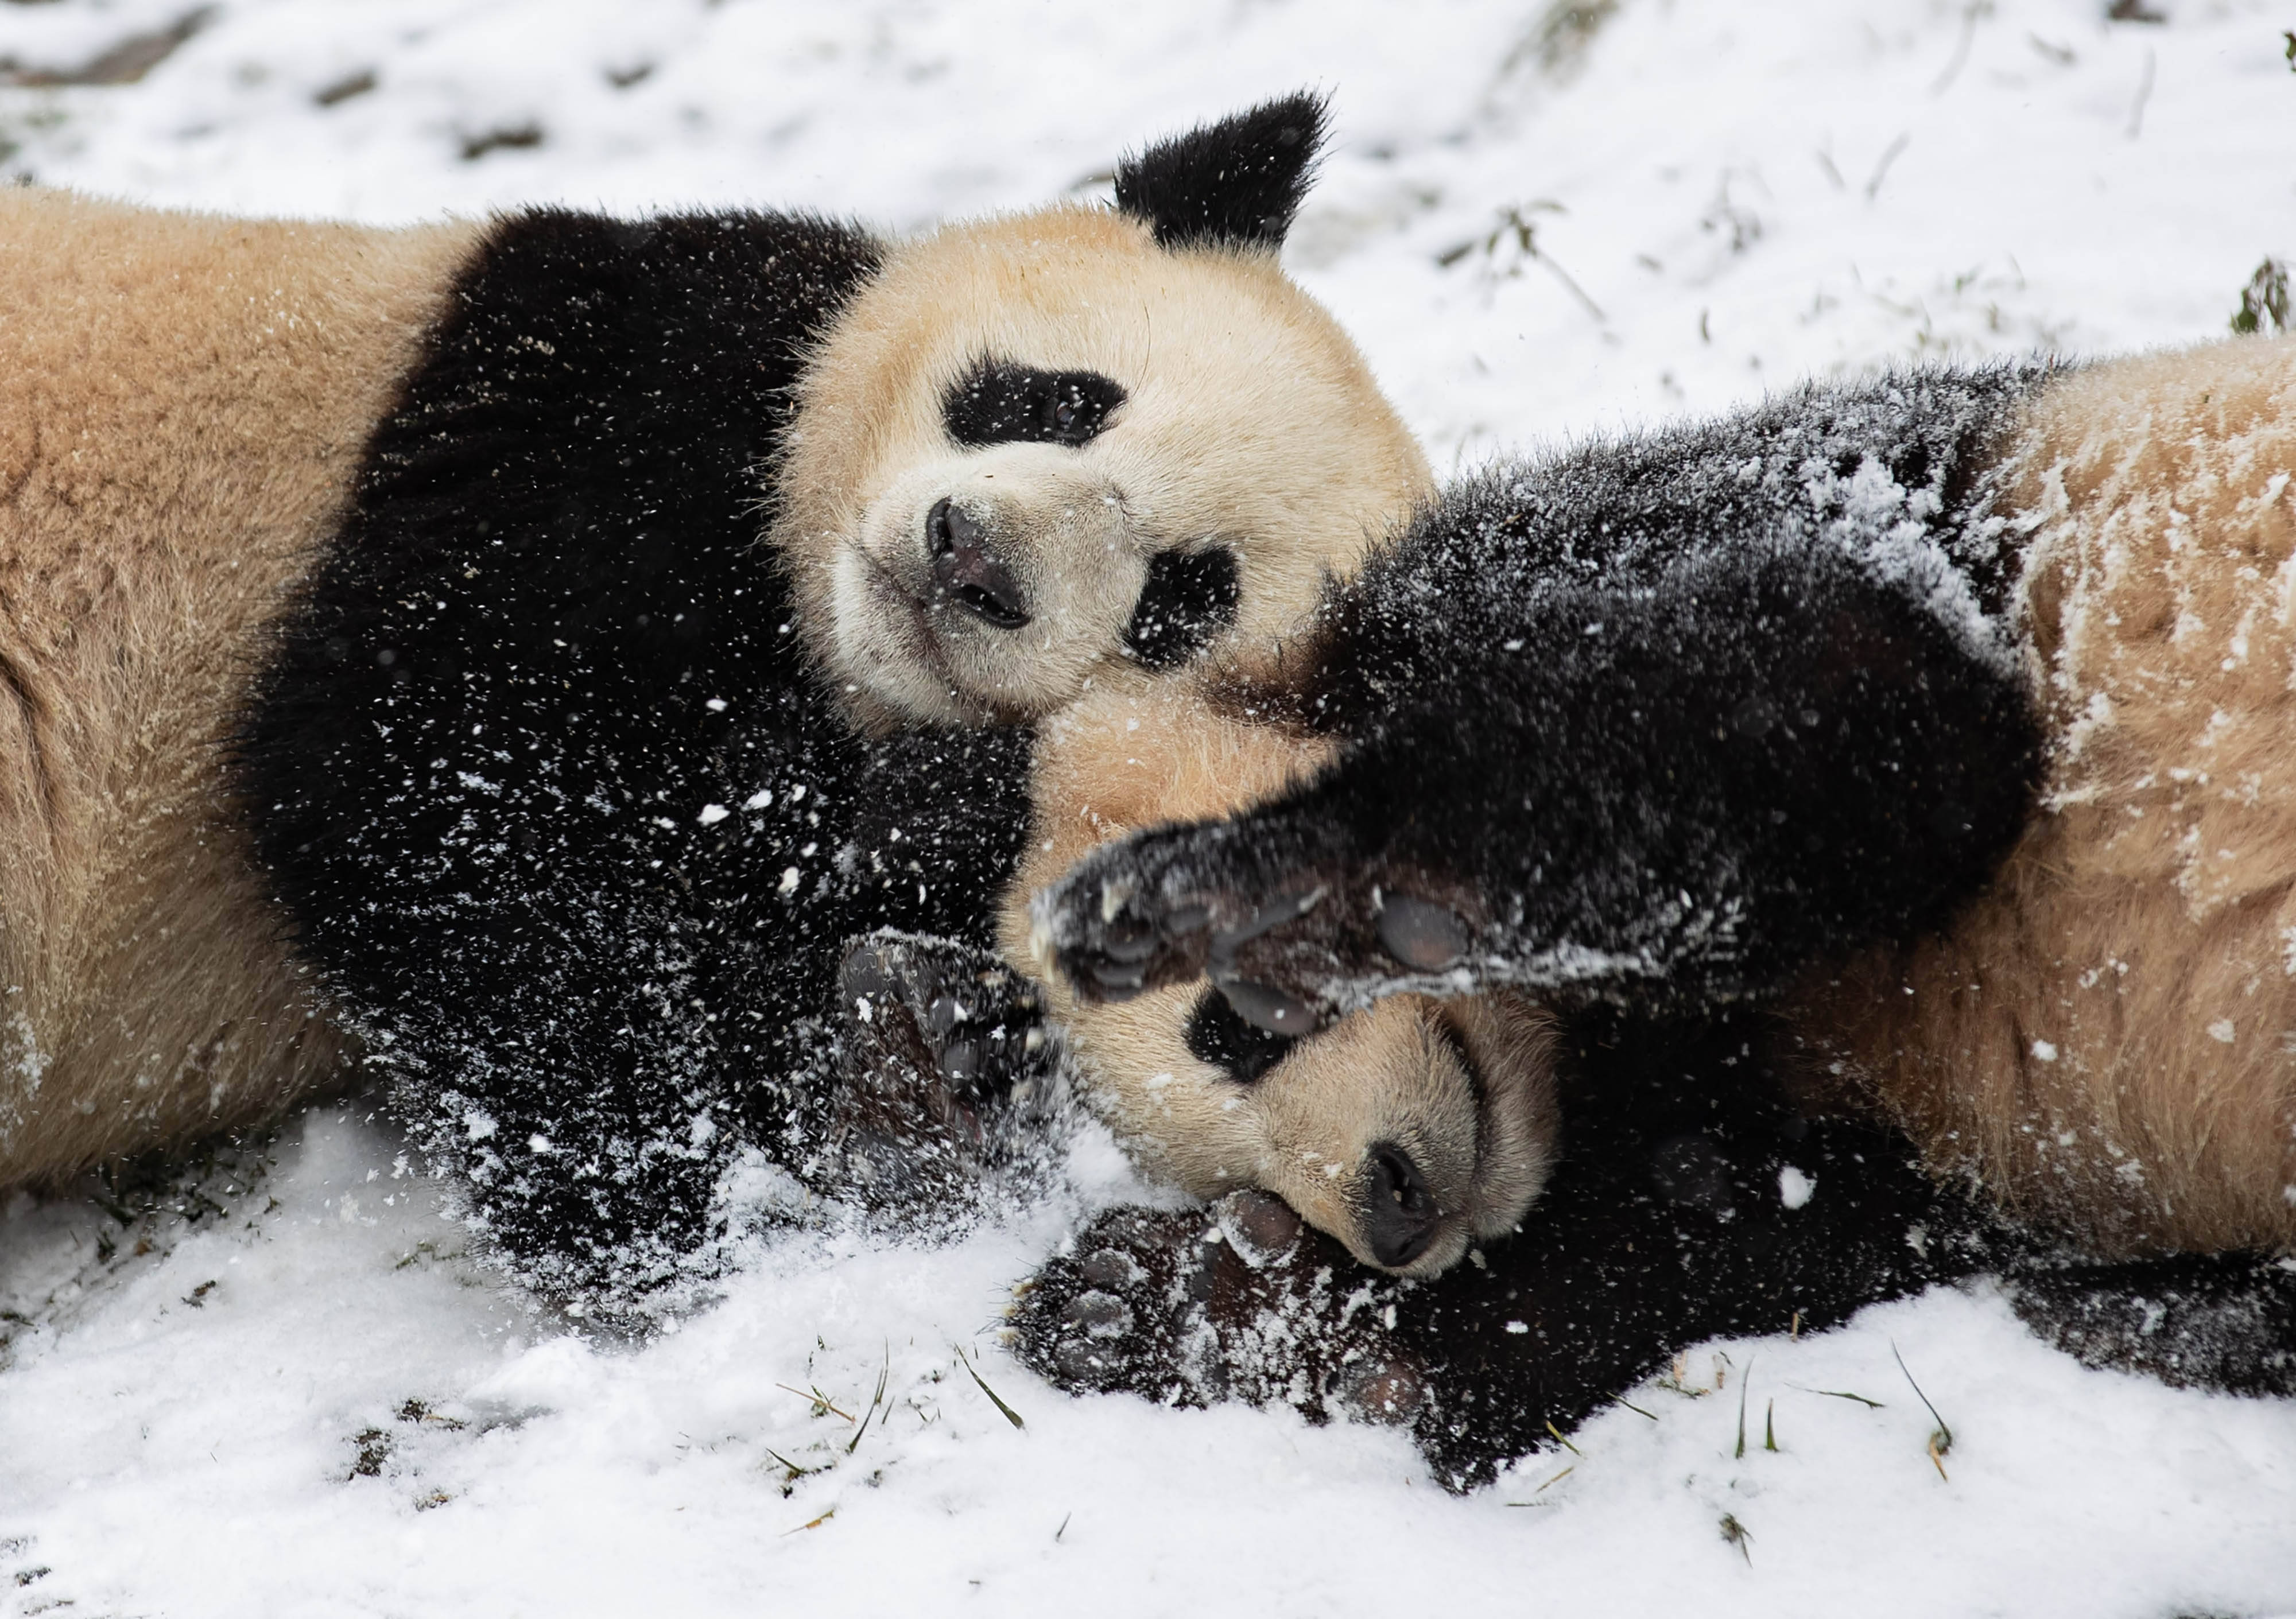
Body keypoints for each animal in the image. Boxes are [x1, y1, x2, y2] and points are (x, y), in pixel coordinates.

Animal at [0, 92, 1433, 1313]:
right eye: (1059, 400)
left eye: (1176, 602)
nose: (967, 562)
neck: (803, 620)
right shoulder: (576, 421)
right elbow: (426, 797)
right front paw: (682, 1213)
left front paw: (919, 1047)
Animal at [1015, 337, 2296, 1478]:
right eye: (1240, 1168)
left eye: (1235, 1031)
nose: (1391, 1218)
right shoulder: (1872, 1146)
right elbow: (1702, 1237)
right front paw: (1167, 1306)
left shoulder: (1699, 524)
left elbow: (1862, 695)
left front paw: (1268, 899)